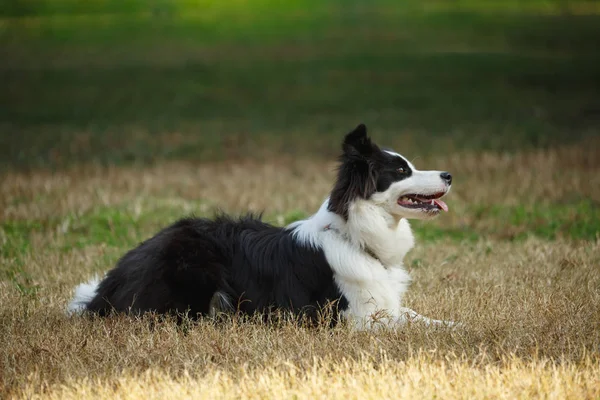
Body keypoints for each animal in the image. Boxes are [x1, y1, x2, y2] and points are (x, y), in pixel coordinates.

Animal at [69, 124, 454, 328]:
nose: (449, 175)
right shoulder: (353, 316)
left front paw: (457, 326)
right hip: (195, 269)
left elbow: (423, 318)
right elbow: (405, 324)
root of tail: (111, 283)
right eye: (401, 171)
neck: (353, 234)